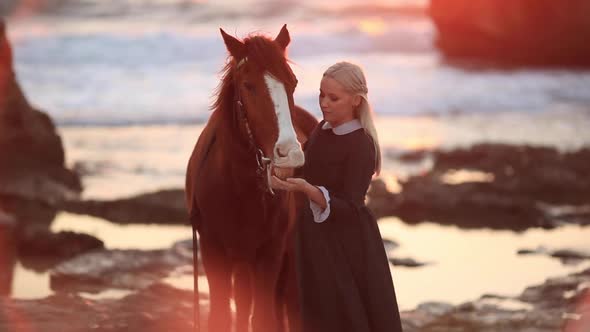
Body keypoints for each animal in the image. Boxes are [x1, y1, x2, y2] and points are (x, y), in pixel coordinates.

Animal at [187, 26, 320, 332]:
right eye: (248, 85)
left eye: (293, 83)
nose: (290, 154)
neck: (238, 189)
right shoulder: (213, 252)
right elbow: (221, 316)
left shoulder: (270, 254)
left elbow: (263, 318)